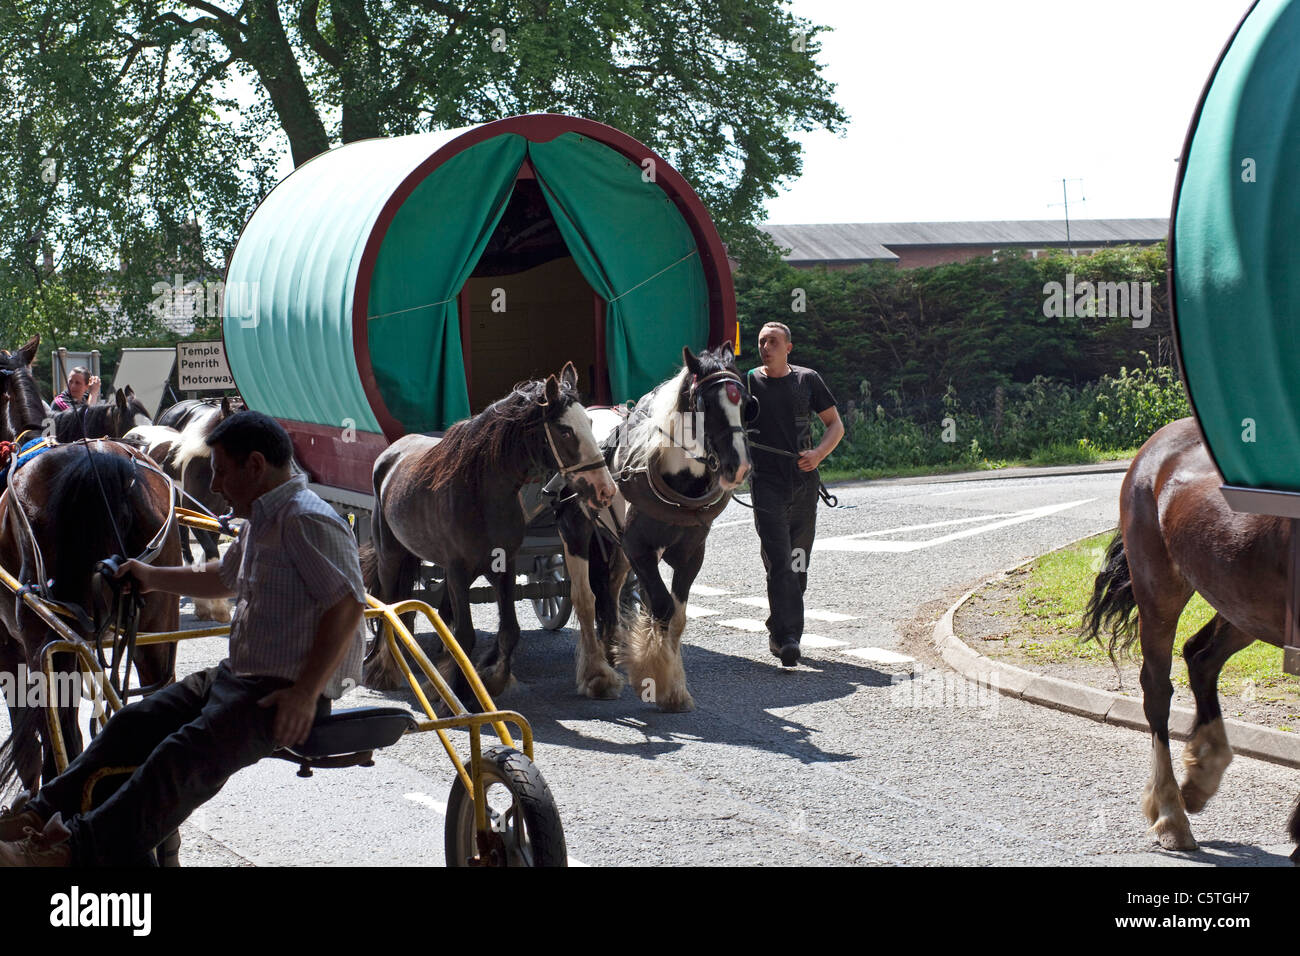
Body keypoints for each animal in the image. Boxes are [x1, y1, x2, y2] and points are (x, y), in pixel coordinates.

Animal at [361, 366, 613, 702]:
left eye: (590, 422)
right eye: (564, 431)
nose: (605, 489)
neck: (480, 492)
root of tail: (390, 453)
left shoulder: (502, 565)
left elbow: (509, 630)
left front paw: (491, 677)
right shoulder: (456, 569)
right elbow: (464, 636)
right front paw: (458, 690)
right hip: (391, 555)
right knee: (389, 604)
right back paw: (384, 669)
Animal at [1086, 418, 1300, 858]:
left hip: (1242, 603)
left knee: (1201, 655)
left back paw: (1202, 773)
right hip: (1160, 589)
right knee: (1157, 689)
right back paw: (1171, 812)